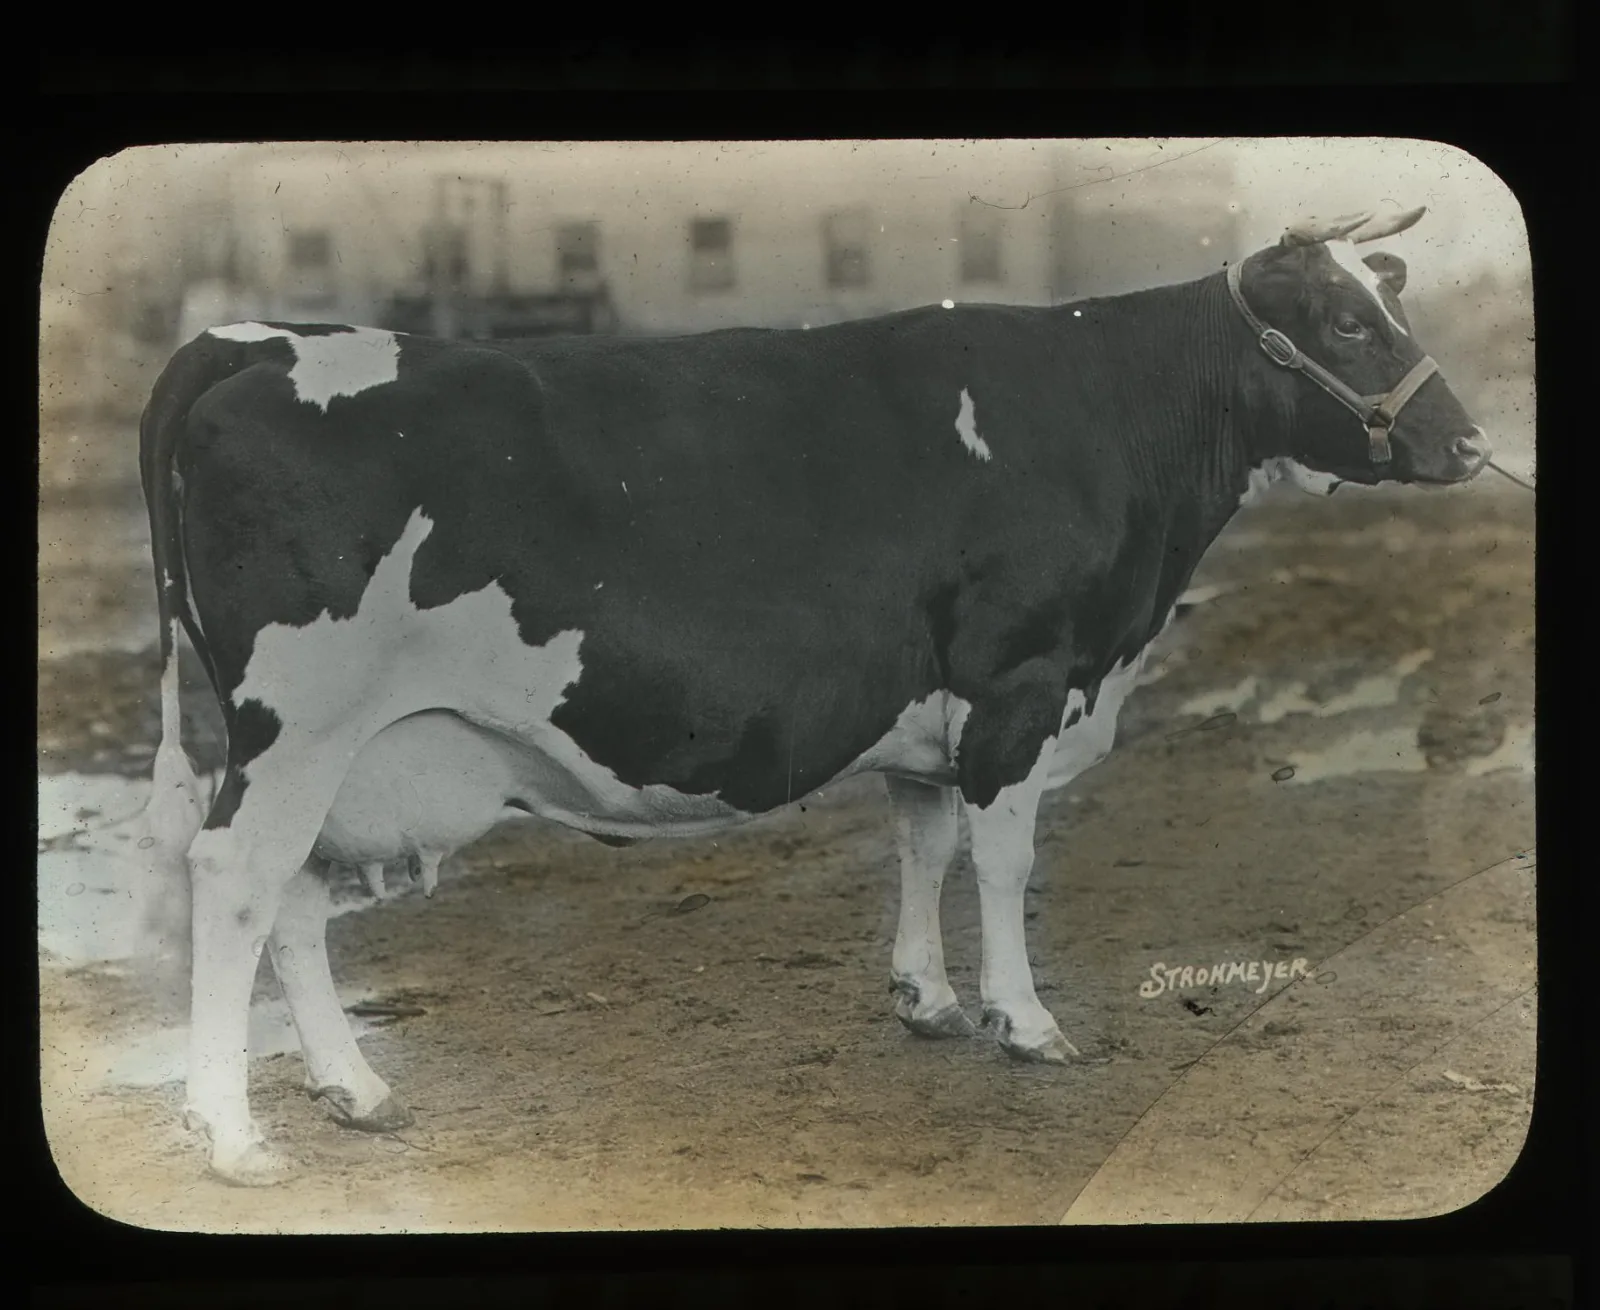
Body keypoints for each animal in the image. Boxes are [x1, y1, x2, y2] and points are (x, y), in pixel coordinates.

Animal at [136, 204, 1489, 1184]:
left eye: (1393, 299)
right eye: (1341, 321)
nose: (1470, 444)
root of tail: (251, 339)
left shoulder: (932, 709)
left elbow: (922, 842)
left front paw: (926, 998)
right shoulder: (1020, 678)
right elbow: (1002, 860)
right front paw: (1023, 1018)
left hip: (325, 748)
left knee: (292, 898)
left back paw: (352, 1088)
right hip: (297, 724)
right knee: (237, 880)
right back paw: (234, 1135)